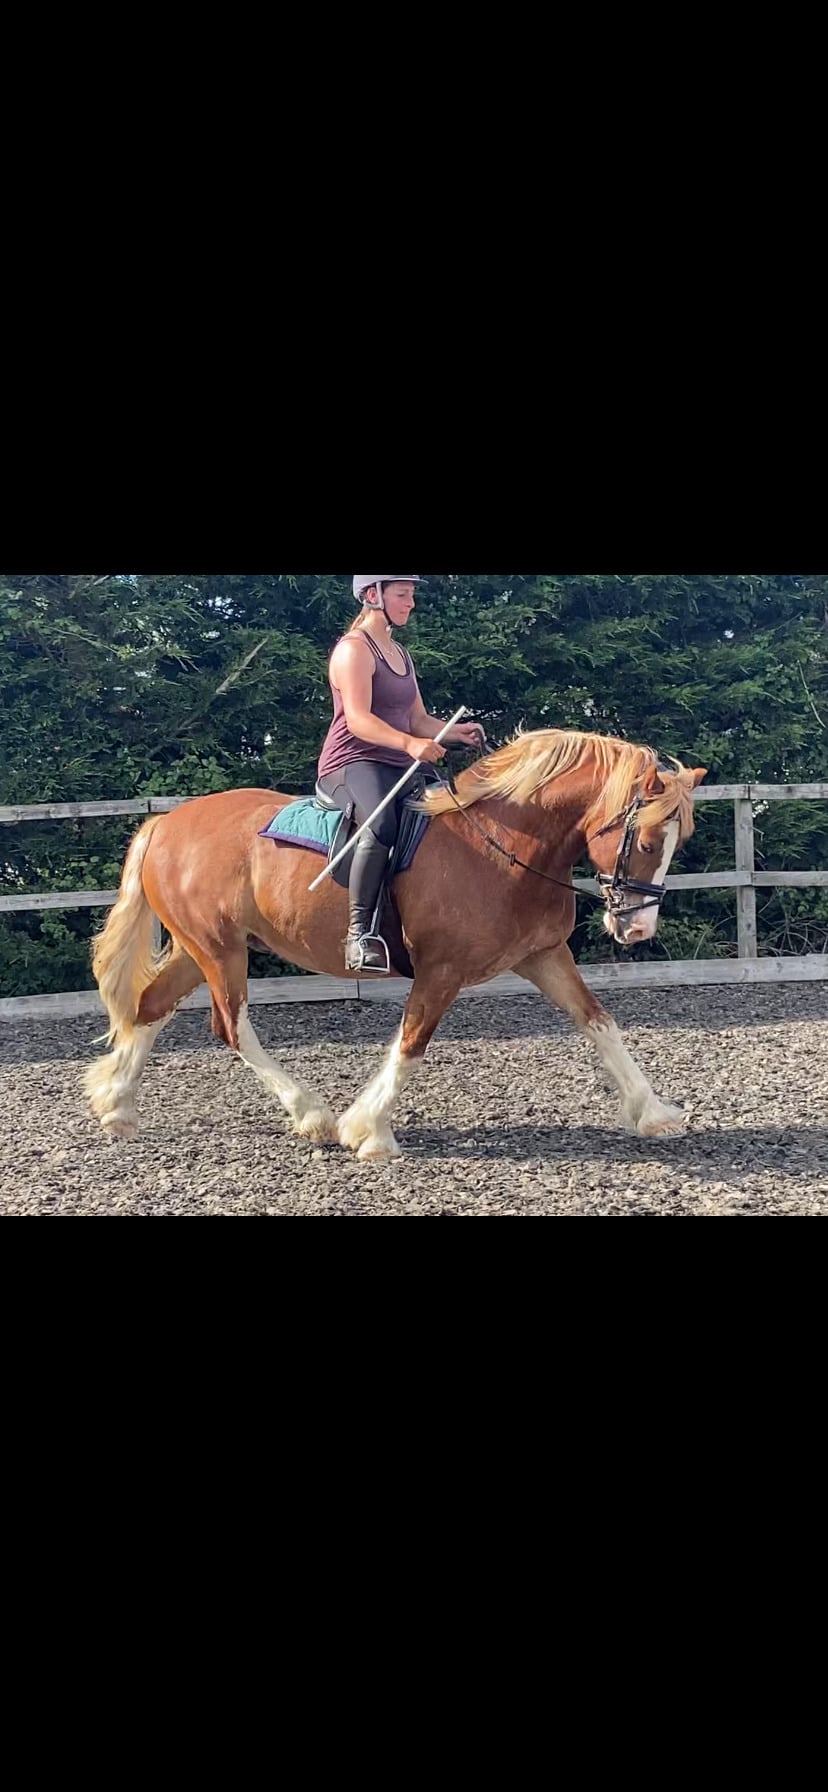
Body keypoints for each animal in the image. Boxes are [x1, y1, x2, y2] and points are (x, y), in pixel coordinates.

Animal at [84, 730, 707, 1160]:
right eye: (646, 842)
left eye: (679, 842)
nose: (637, 930)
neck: (506, 844)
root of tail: (164, 825)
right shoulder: (442, 970)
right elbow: (411, 1045)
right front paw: (369, 1131)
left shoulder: (544, 956)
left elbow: (600, 1023)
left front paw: (654, 1111)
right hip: (219, 951)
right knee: (231, 1027)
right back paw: (312, 1115)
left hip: (202, 948)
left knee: (150, 1007)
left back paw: (117, 1108)